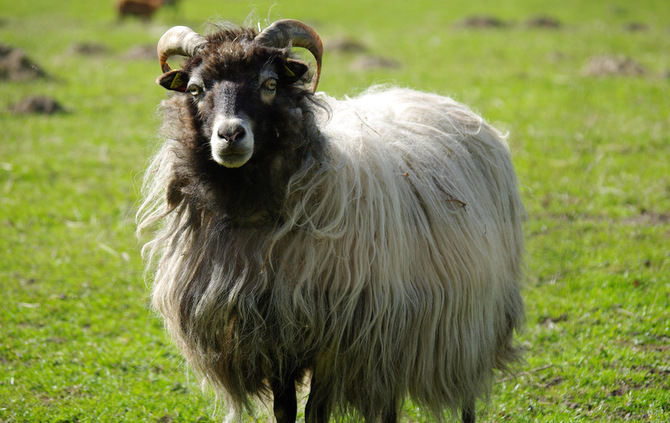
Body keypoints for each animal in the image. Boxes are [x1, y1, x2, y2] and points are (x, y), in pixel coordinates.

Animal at [137, 19, 526, 423]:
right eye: (195, 89)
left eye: (269, 84)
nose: (230, 135)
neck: (254, 210)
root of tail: (434, 98)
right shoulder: (273, 335)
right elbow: (284, 409)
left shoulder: (336, 339)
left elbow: (316, 412)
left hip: (468, 319)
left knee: (467, 391)